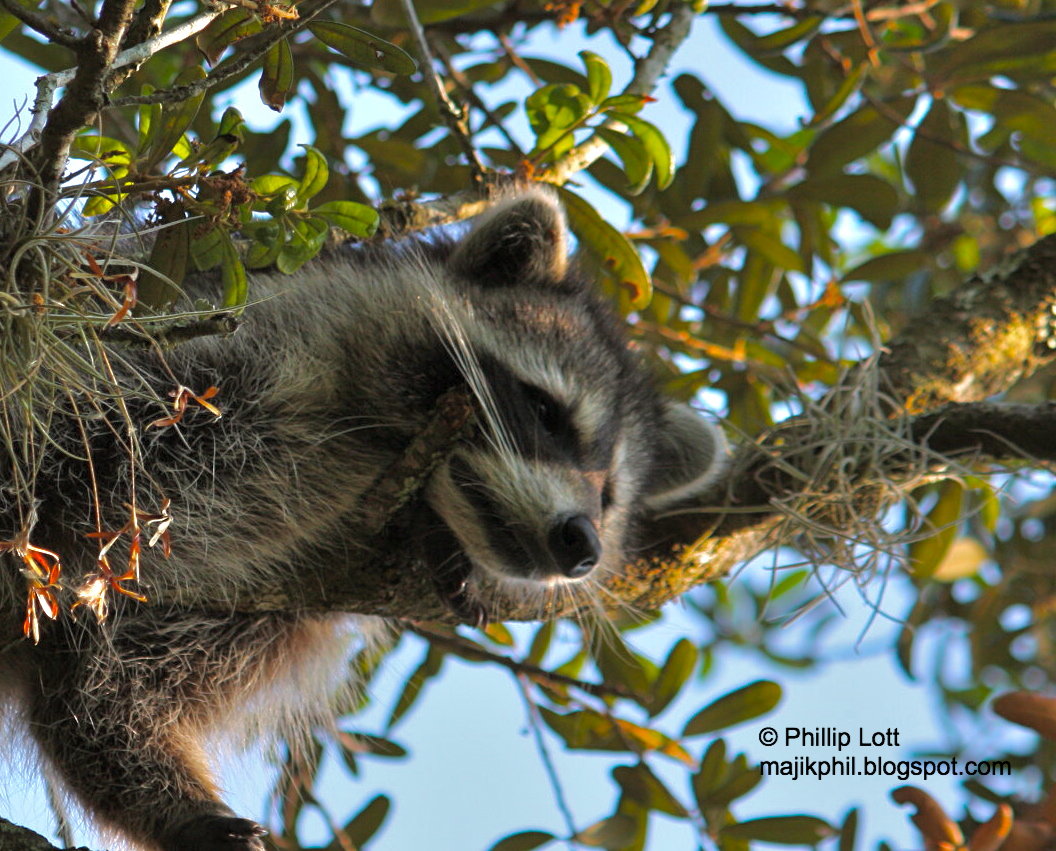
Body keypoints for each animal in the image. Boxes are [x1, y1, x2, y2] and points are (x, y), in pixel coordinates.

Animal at [0, 190, 725, 851]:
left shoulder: (280, 598)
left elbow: (100, 695)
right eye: (548, 414)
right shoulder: (214, 344)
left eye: (610, 497)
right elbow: (88, 429)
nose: (582, 544)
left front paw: (174, 806)